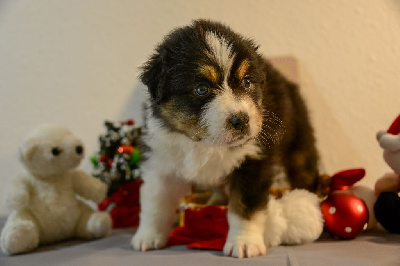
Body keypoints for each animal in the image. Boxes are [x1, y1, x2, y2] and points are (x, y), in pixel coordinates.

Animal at [132, 19, 318, 258]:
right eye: (202, 89)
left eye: (247, 82)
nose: (242, 120)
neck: (203, 144)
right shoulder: (161, 161)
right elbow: (155, 203)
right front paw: (148, 237)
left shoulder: (253, 161)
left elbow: (245, 209)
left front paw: (244, 243)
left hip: (299, 146)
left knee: (305, 172)